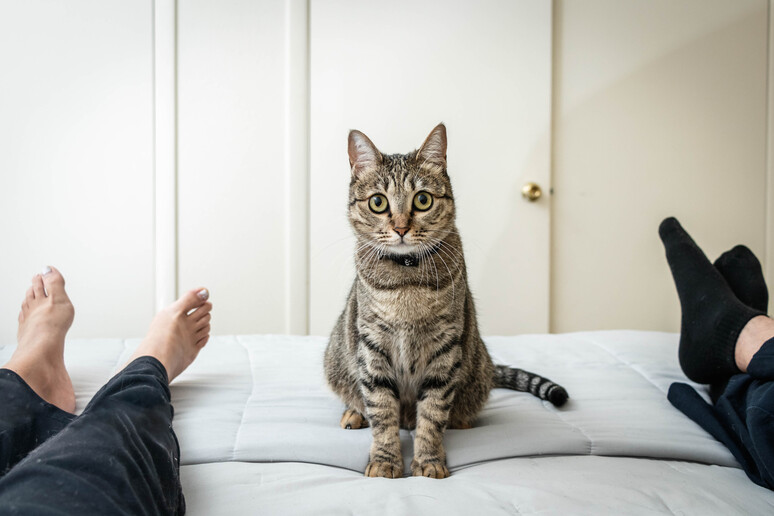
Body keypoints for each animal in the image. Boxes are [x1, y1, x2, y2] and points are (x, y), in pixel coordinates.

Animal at [322, 123, 568, 478]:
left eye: (422, 200)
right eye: (378, 202)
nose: (401, 228)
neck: (407, 279)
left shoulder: (445, 347)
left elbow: (432, 414)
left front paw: (428, 460)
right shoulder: (372, 346)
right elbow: (382, 411)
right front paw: (384, 460)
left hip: (476, 368)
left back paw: (459, 420)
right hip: (337, 358)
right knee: (358, 398)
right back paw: (354, 414)